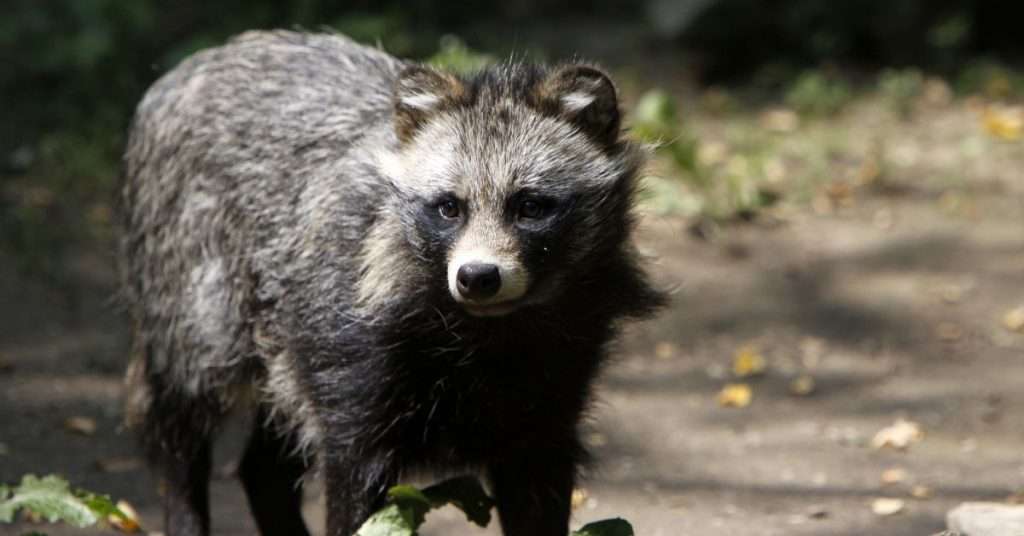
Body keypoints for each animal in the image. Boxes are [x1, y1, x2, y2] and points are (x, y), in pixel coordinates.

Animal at [119, 30, 663, 536]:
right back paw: (184, 500)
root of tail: (196, 63)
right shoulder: (354, 345)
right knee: (184, 407)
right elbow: (353, 481)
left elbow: (538, 485)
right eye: (448, 207)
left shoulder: (554, 381)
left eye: (530, 206)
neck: (486, 333)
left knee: (266, 458)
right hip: (192, 269)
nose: (478, 277)